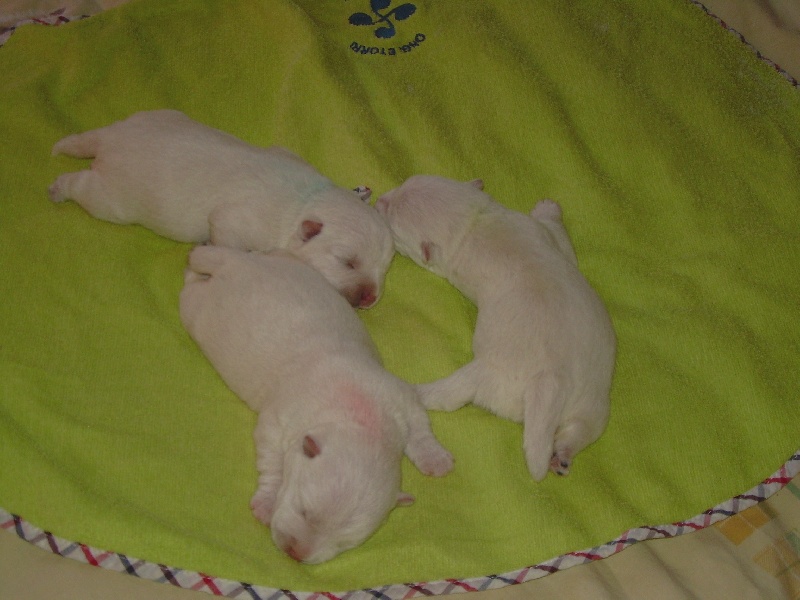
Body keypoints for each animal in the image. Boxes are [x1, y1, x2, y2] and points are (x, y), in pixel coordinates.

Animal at [48, 109, 392, 310]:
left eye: (383, 269)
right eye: (347, 262)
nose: (371, 297)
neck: (307, 200)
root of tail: (110, 140)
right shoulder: (238, 221)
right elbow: (227, 235)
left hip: (155, 116)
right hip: (113, 199)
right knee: (82, 185)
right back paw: (60, 187)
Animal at [182, 244, 456, 564]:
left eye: (345, 543)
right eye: (304, 511)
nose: (295, 553)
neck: (360, 418)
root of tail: (235, 264)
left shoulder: (399, 396)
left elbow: (420, 426)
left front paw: (435, 459)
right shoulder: (277, 421)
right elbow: (271, 460)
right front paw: (267, 502)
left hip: (284, 263)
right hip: (197, 310)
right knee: (190, 285)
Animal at [376, 176, 620, 480]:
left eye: (393, 226)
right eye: (406, 182)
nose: (379, 200)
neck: (472, 223)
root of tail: (553, 380)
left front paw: (546, 207)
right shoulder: (539, 232)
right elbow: (561, 239)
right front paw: (549, 208)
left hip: (490, 376)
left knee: (451, 394)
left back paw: (419, 391)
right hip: (593, 400)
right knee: (583, 429)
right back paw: (563, 454)